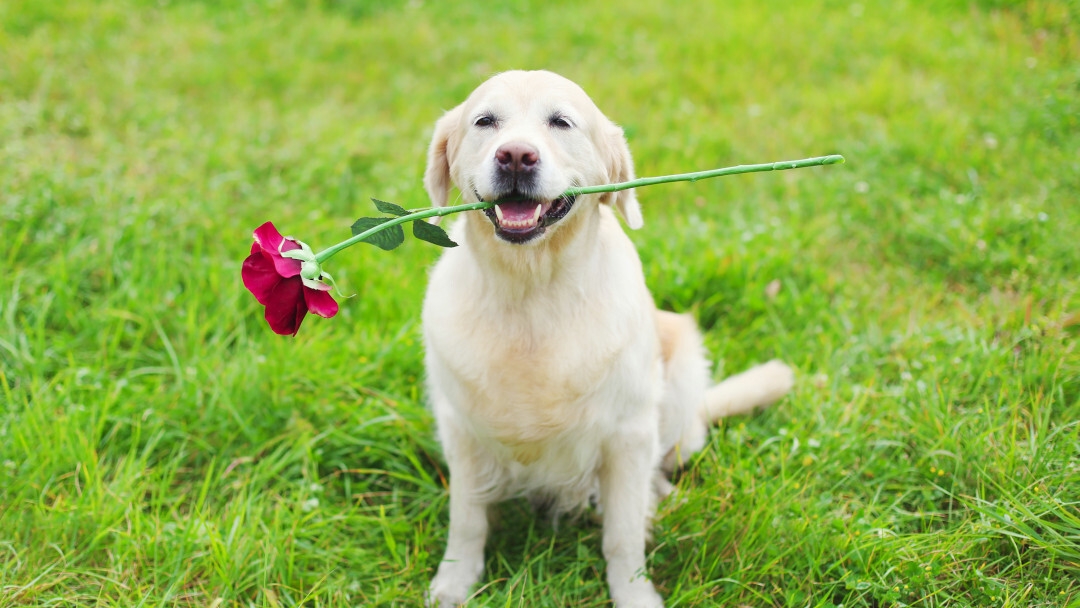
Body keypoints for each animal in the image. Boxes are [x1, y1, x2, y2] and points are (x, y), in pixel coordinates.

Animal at [421, 70, 794, 604]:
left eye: (561, 122)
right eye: (485, 121)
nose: (515, 155)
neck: (532, 293)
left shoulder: (629, 434)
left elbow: (623, 532)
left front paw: (634, 593)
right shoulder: (462, 430)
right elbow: (467, 519)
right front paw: (454, 583)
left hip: (680, 372)